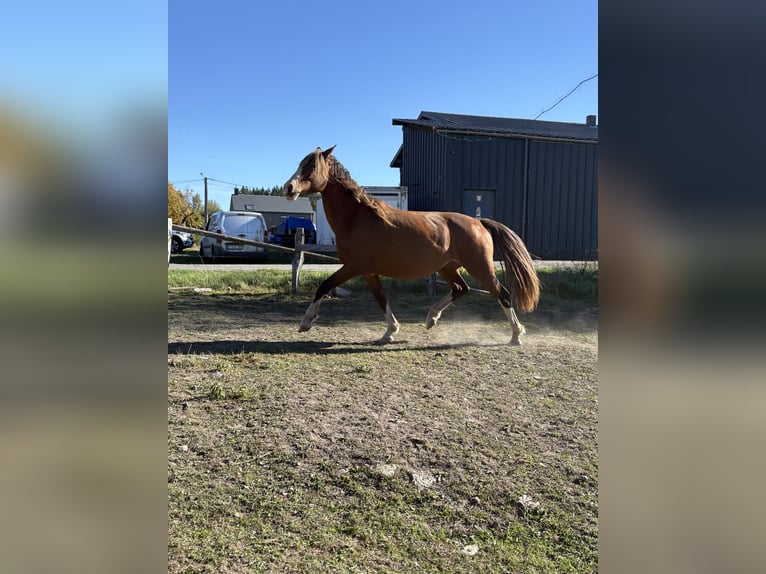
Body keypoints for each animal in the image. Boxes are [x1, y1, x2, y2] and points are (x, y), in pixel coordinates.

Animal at [283, 146, 540, 345]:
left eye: (311, 166)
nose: (288, 188)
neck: (356, 219)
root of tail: (478, 222)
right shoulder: (368, 272)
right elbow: (381, 299)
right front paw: (389, 332)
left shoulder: (354, 267)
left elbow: (324, 285)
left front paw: (306, 322)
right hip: (447, 268)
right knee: (461, 289)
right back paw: (431, 319)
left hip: (480, 267)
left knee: (502, 293)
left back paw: (516, 335)